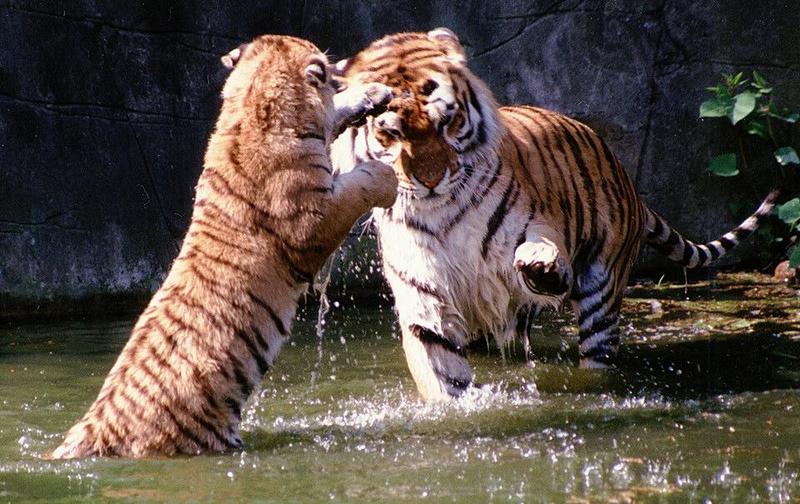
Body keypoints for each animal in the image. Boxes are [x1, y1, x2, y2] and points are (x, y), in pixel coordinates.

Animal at [50, 35, 396, 458]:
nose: (345, 68)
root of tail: (92, 430)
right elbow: (358, 185)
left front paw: (375, 93)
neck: (249, 111)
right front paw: (387, 175)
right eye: (329, 73)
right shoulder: (314, 219)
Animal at [328, 29, 780, 404]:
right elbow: (442, 369)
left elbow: (540, 249)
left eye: (448, 122)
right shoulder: (425, 294)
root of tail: (631, 187)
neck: (442, 212)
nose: (432, 180)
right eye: (391, 133)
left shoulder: (534, 224)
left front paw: (541, 266)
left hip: (603, 292)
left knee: (597, 351)